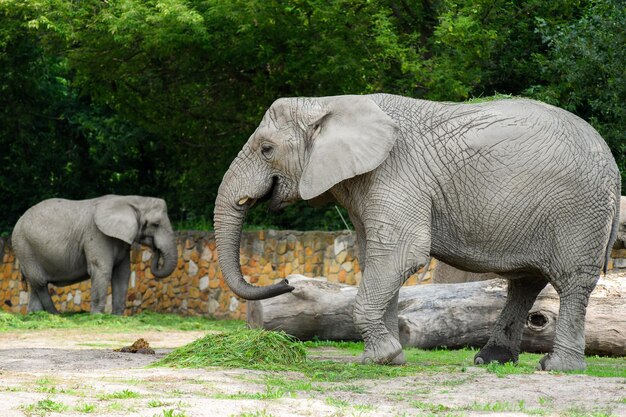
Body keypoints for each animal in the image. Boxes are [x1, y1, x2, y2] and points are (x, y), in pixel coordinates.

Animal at [12, 195, 178, 312]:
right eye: (156, 224)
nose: (156, 249)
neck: (131, 200)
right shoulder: (97, 234)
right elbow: (101, 270)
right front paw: (97, 317)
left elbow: (122, 274)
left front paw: (117, 318)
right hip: (24, 247)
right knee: (40, 283)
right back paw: (55, 315)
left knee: (35, 285)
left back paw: (37, 316)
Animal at [214, 93, 620, 370]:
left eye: (266, 149)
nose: (286, 282)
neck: (329, 104)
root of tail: (611, 161)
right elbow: (375, 258)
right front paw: (386, 358)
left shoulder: (395, 175)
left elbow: (399, 255)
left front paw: (383, 357)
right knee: (525, 282)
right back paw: (490, 360)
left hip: (579, 212)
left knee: (570, 282)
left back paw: (556, 368)